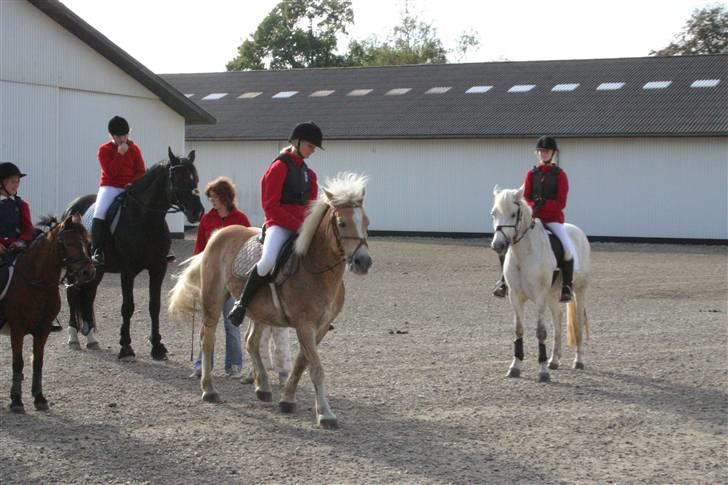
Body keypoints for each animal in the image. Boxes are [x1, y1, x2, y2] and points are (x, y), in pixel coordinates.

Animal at [0, 216, 95, 412]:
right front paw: (16, 400)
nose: (88, 272)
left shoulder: (43, 329)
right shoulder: (17, 328)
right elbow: (18, 362)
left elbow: (38, 362)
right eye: (69, 243)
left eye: (87, 242)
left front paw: (39, 398)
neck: (36, 283)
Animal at [63, 147, 203, 360]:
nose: (198, 212)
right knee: (72, 293)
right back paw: (73, 338)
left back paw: (92, 339)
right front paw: (126, 346)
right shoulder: (127, 271)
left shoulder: (158, 268)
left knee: (89, 295)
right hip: (76, 268)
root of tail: (71, 207)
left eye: (195, 178)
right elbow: (127, 307)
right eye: (179, 179)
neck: (145, 218)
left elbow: (154, 306)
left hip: (96, 270)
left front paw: (157, 347)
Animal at [170, 171, 372, 428]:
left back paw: (263, 388)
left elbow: (301, 362)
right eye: (342, 222)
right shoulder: (305, 326)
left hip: (261, 312)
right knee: (208, 338)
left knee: (251, 342)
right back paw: (209, 390)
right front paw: (325, 414)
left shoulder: (320, 327)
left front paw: (287, 400)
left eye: (366, 222)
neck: (316, 270)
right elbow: (316, 368)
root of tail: (218, 234)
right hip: (213, 301)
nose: (363, 262)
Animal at [490, 185, 592, 382]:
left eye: (513, 214)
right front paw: (515, 366)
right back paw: (554, 360)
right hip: (552, 294)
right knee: (558, 318)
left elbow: (541, 331)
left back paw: (578, 361)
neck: (523, 255)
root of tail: (577, 231)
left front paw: (543, 370)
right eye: (494, 213)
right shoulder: (515, 297)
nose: (498, 245)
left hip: (579, 289)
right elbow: (519, 330)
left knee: (578, 321)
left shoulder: (539, 297)